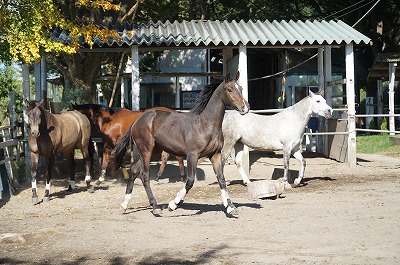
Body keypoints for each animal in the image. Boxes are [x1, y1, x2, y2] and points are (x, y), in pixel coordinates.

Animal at [112, 71, 248, 214]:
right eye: (230, 89)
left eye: (241, 88)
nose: (245, 107)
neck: (205, 125)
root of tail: (137, 121)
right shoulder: (192, 155)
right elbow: (190, 180)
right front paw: (173, 204)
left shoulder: (215, 154)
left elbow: (221, 179)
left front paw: (230, 207)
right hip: (146, 150)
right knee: (144, 175)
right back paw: (155, 207)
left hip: (152, 151)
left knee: (133, 171)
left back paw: (124, 205)